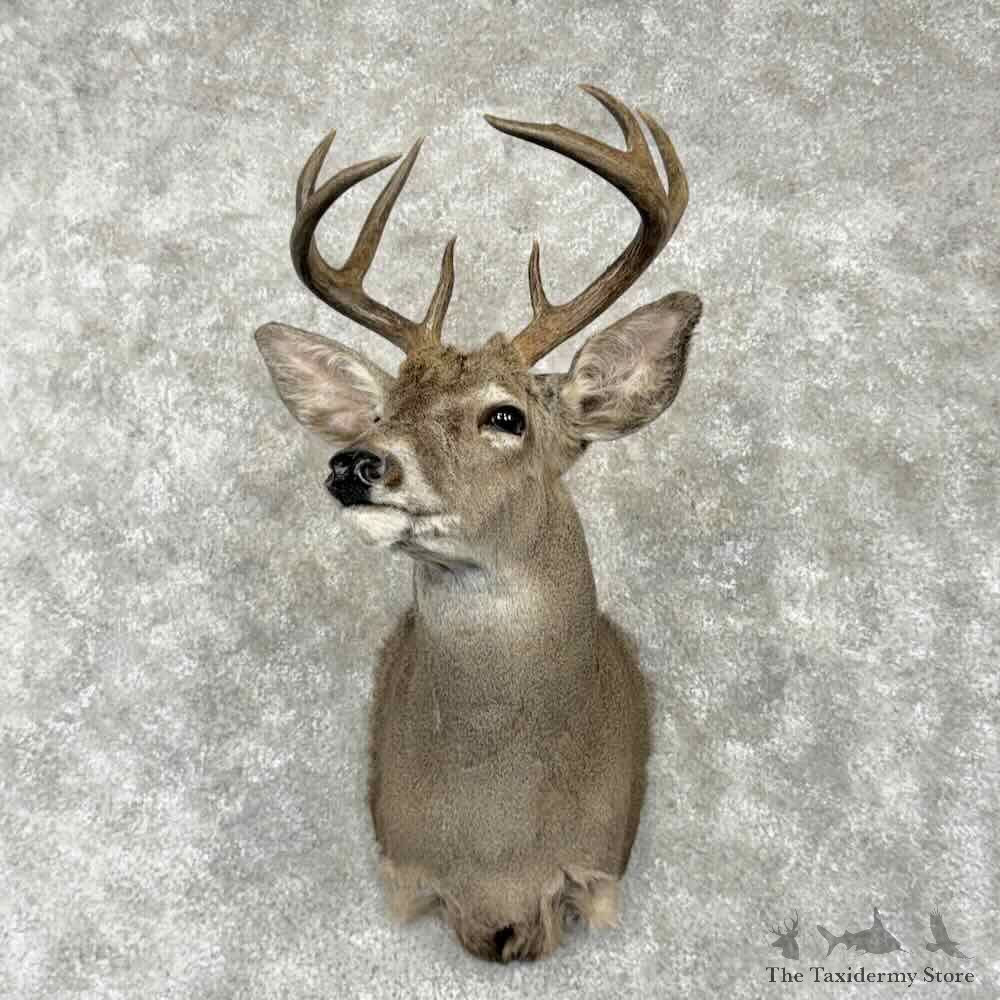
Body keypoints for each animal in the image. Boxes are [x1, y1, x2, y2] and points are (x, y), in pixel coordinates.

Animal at [254, 85, 702, 963]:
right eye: (383, 410)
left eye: (506, 416)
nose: (354, 464)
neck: (499, 845)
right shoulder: (405, 868)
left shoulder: (596, 873)